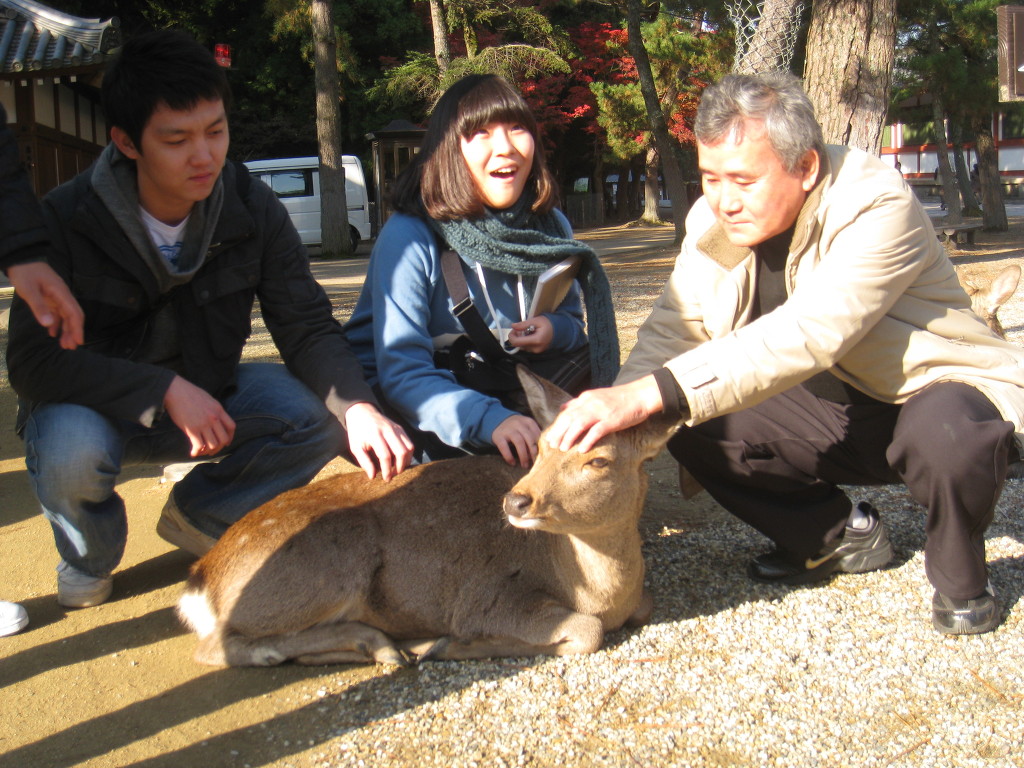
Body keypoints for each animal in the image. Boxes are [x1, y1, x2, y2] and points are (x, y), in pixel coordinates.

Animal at [177, 367, 679, 667]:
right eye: (540, 446)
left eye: (599, 460)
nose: (517, 501)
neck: (599, 592)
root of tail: (202, 578)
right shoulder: (490, 596)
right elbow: (586, 631)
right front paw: (456, 644)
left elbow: (644, 606)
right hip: (326, 567)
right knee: (214, 645)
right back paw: (389, 645)